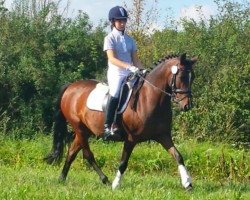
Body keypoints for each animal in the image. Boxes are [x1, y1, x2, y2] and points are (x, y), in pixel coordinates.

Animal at [44, 52, 197, 189]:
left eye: (193, 77)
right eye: (182, 76)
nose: (187, 106)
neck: (150, 98)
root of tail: (70, 87)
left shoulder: (163, 135)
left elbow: (178, 156)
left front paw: (187, 183)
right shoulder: (131, 139)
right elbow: (123, 162)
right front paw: (116, 185)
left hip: (85, 131)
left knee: (72, 152)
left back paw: (62, 178)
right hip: (79, 128)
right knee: (87, 154)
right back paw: (105, 180)